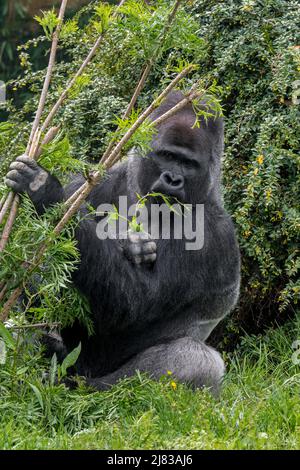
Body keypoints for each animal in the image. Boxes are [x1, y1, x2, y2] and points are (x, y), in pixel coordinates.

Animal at [5, 90, 241, 394]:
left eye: (189, 164)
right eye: (168, 156)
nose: (173, 179)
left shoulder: (213, 236)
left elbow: (132, 301)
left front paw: (45, 192)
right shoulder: (101, 179)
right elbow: (37, 262)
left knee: (196, 362)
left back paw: (87, 387)